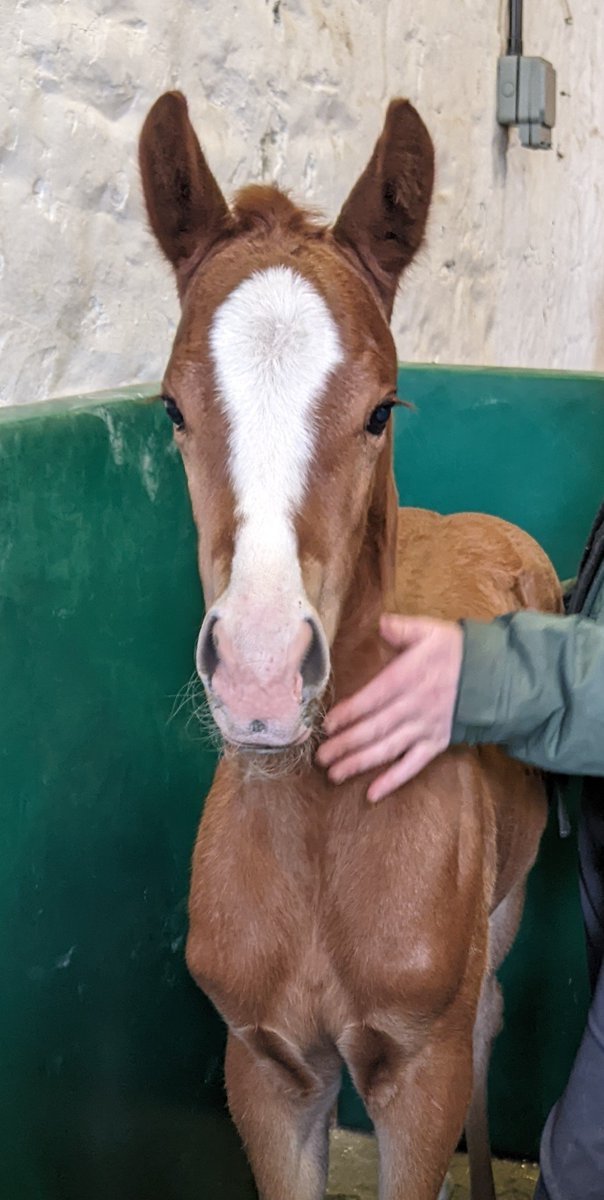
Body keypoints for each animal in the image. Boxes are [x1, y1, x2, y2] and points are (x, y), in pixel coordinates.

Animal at [139, 91, 562, 1200]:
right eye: (171, 408)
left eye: (379, 410)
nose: (259, 678)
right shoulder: (268, 1072)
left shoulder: (417, 1076)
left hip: (500, 924)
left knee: (492, 1015)